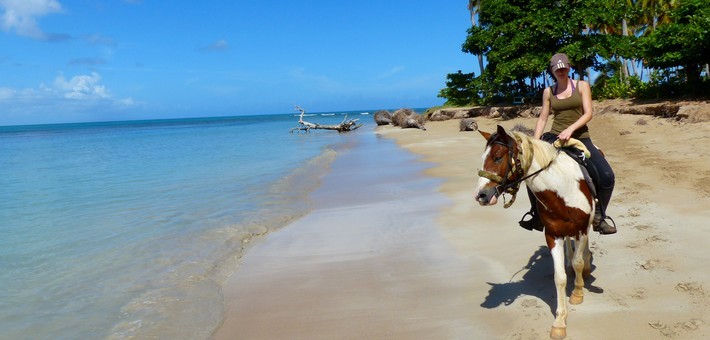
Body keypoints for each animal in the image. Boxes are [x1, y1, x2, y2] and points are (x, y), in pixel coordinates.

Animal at [478, 125, 596, 340]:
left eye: (497, 158)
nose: (481, 195)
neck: (561, 189)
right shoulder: (553, 235)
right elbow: (560, 277)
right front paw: (559, 321)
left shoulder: (583, 228)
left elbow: (578, 262)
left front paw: (577, 293)